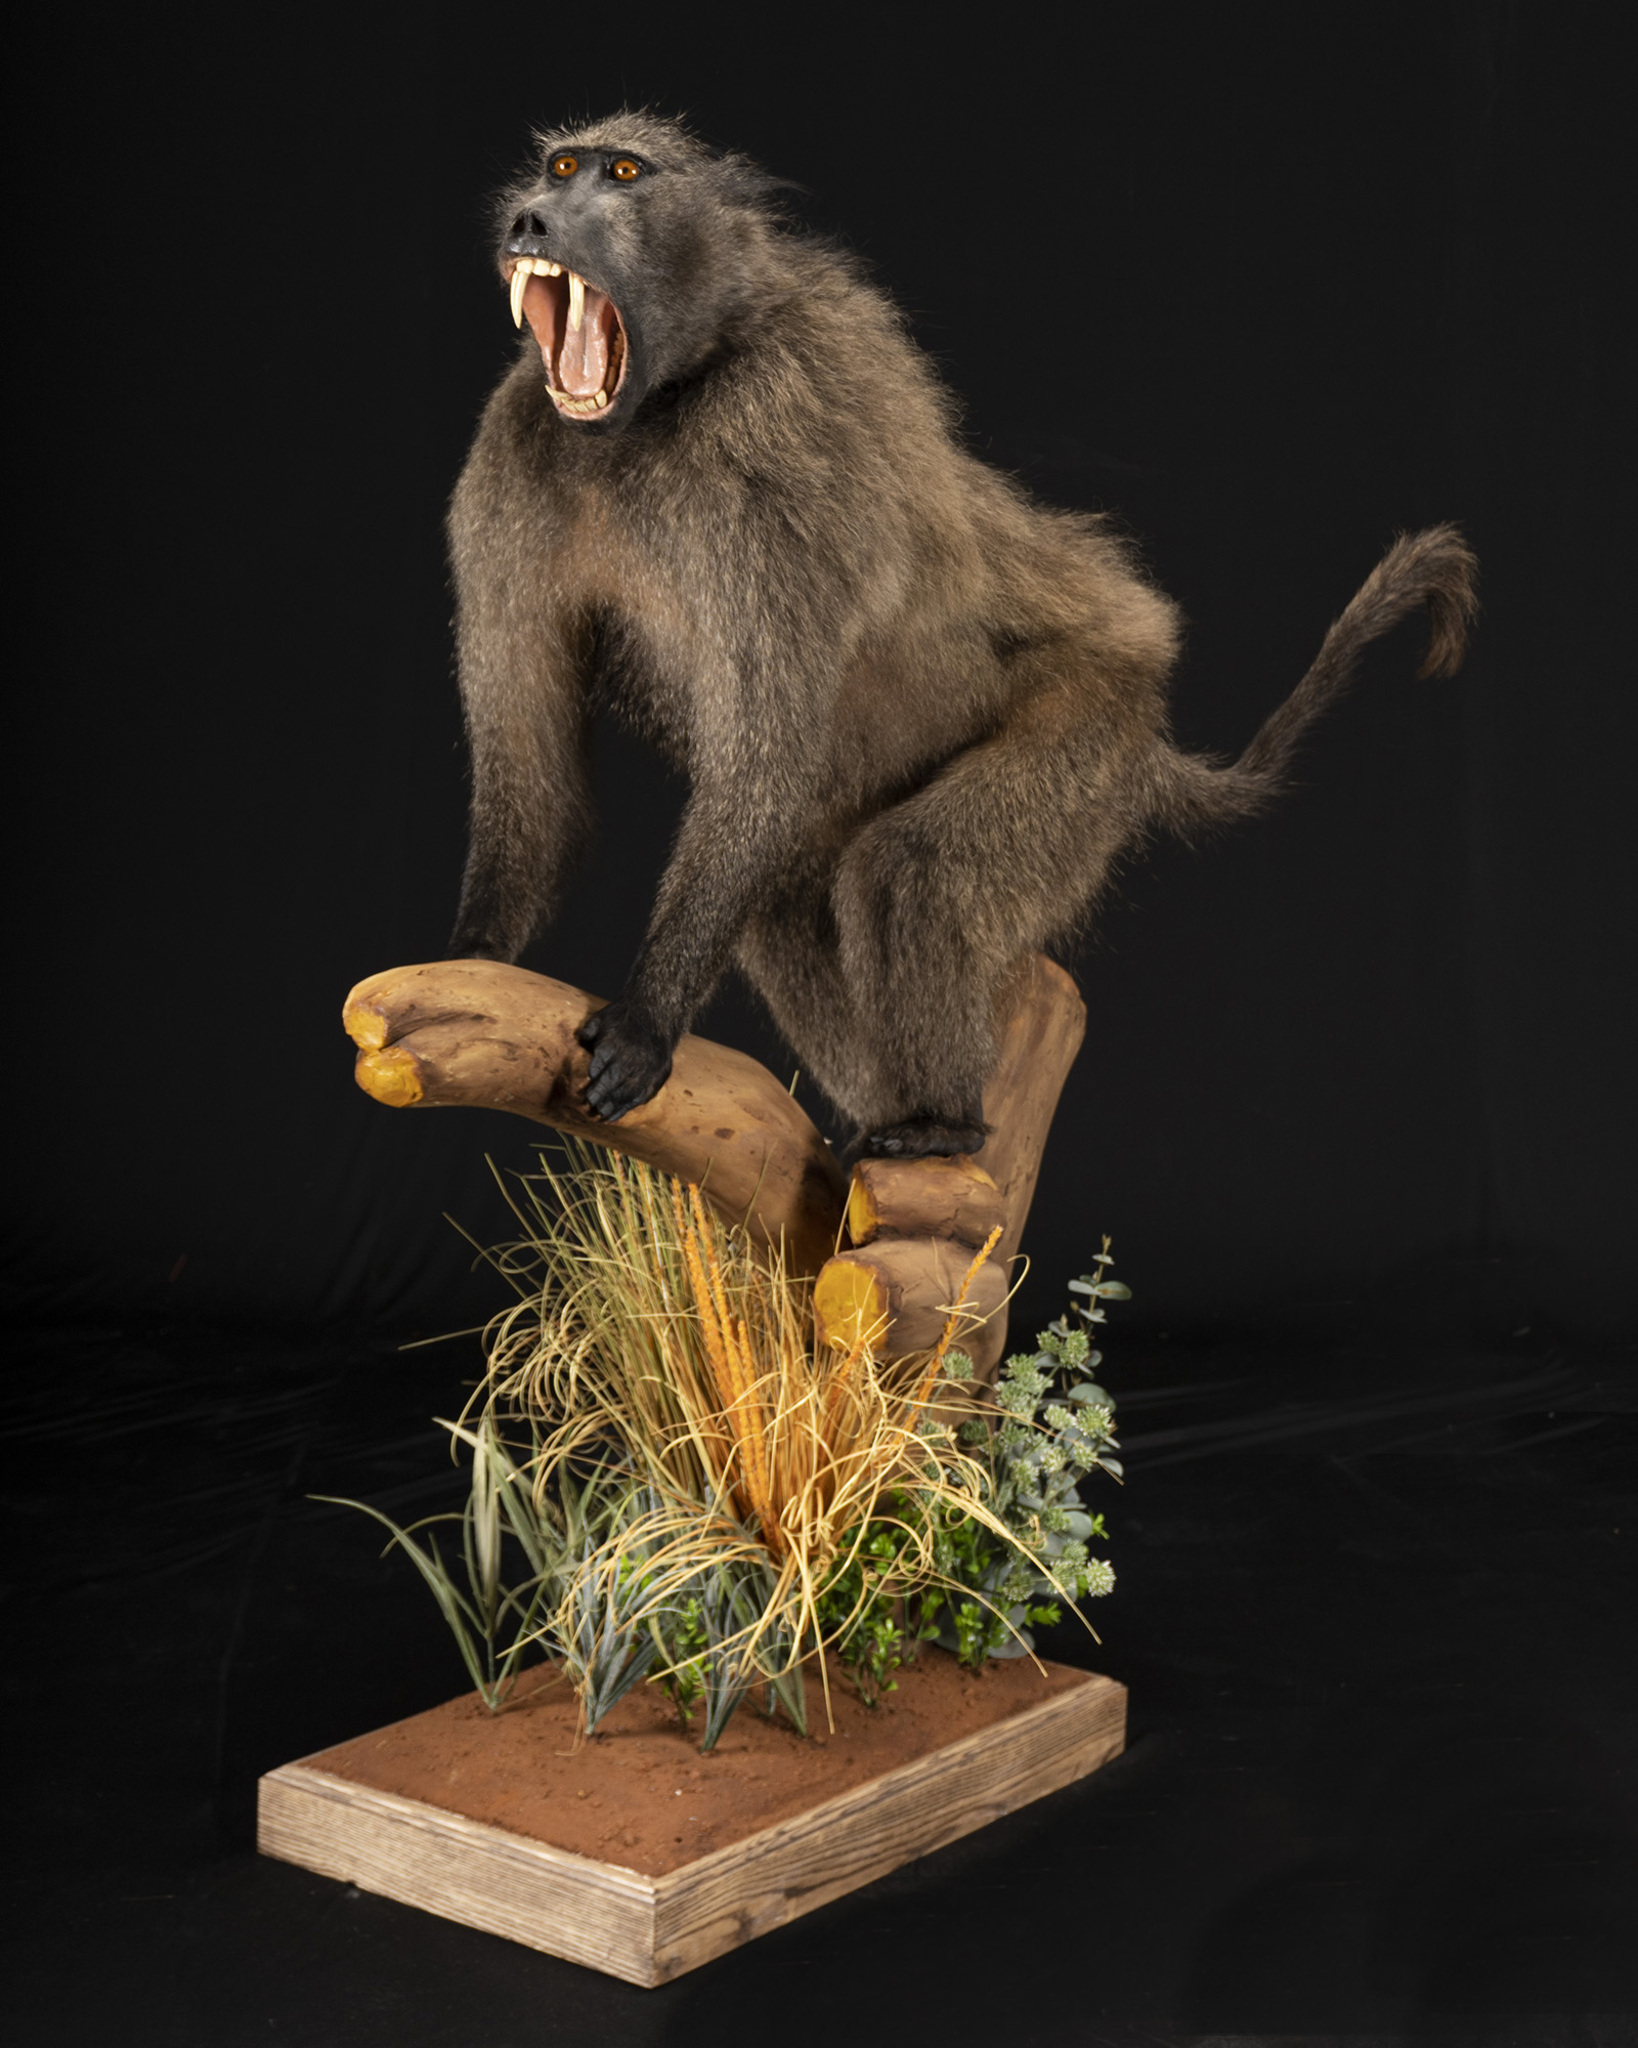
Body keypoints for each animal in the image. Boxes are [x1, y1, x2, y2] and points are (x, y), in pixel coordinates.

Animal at [446, 111, 1477, 1160]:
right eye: (558, 166)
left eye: (622, 172)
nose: (532, 218)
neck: (661, 407)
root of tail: (1147, 735)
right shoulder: (512, 448)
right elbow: (537, 762)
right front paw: (473, 957)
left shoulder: (772, 448)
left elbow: (766, 759)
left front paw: (649, 1026)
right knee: (785, 903)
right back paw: (885, 1119)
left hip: (1087, 728)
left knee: (910, 874)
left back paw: (946, 1124)